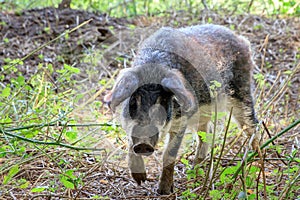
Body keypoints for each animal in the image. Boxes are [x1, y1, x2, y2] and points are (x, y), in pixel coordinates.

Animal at [104, 24, 258, 195]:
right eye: (133, 101)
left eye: (163, 101)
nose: (144, 142)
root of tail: (241, 39)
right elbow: (130, 143)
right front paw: (140, 180)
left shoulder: (181, 121)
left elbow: (169, 154)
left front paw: (163, 191)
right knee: (207, 132)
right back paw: (194, 170)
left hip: (241, 91)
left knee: (252, 124)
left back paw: (256, 158)